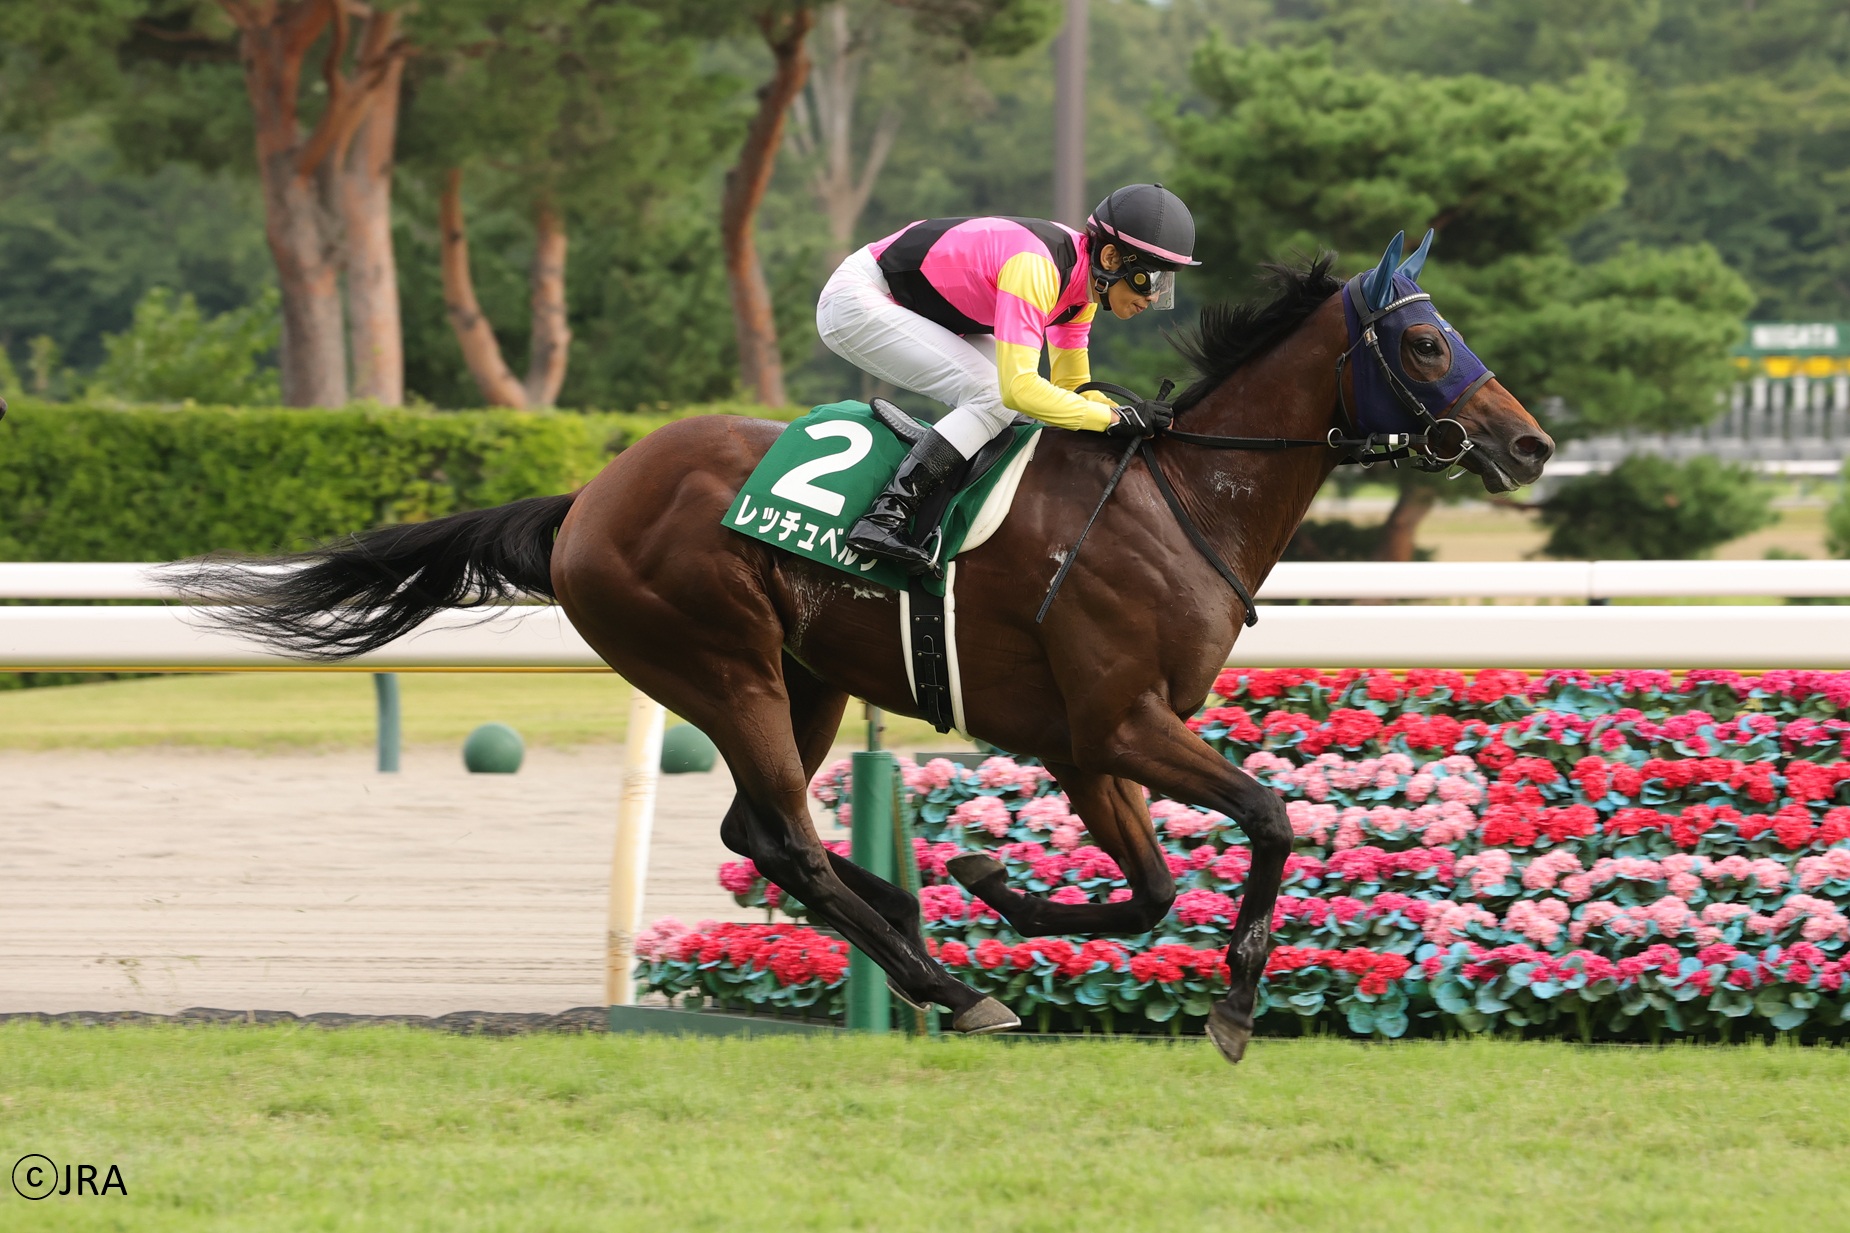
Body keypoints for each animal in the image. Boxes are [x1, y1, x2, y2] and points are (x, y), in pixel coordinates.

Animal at [184, 235, 1552, 1063]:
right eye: (1424, 343)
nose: (1528, 444)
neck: (1178, 501)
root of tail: (587, 498)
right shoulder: (1118, 722)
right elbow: (1266, 818)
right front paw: (1226, 1004)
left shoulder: (1084, 744)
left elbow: (1155, 887)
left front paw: (995, 884)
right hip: (718, 660)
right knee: (783, 836)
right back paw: (950, 984)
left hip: (806, 681)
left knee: (756, 829)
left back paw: (911, 924)